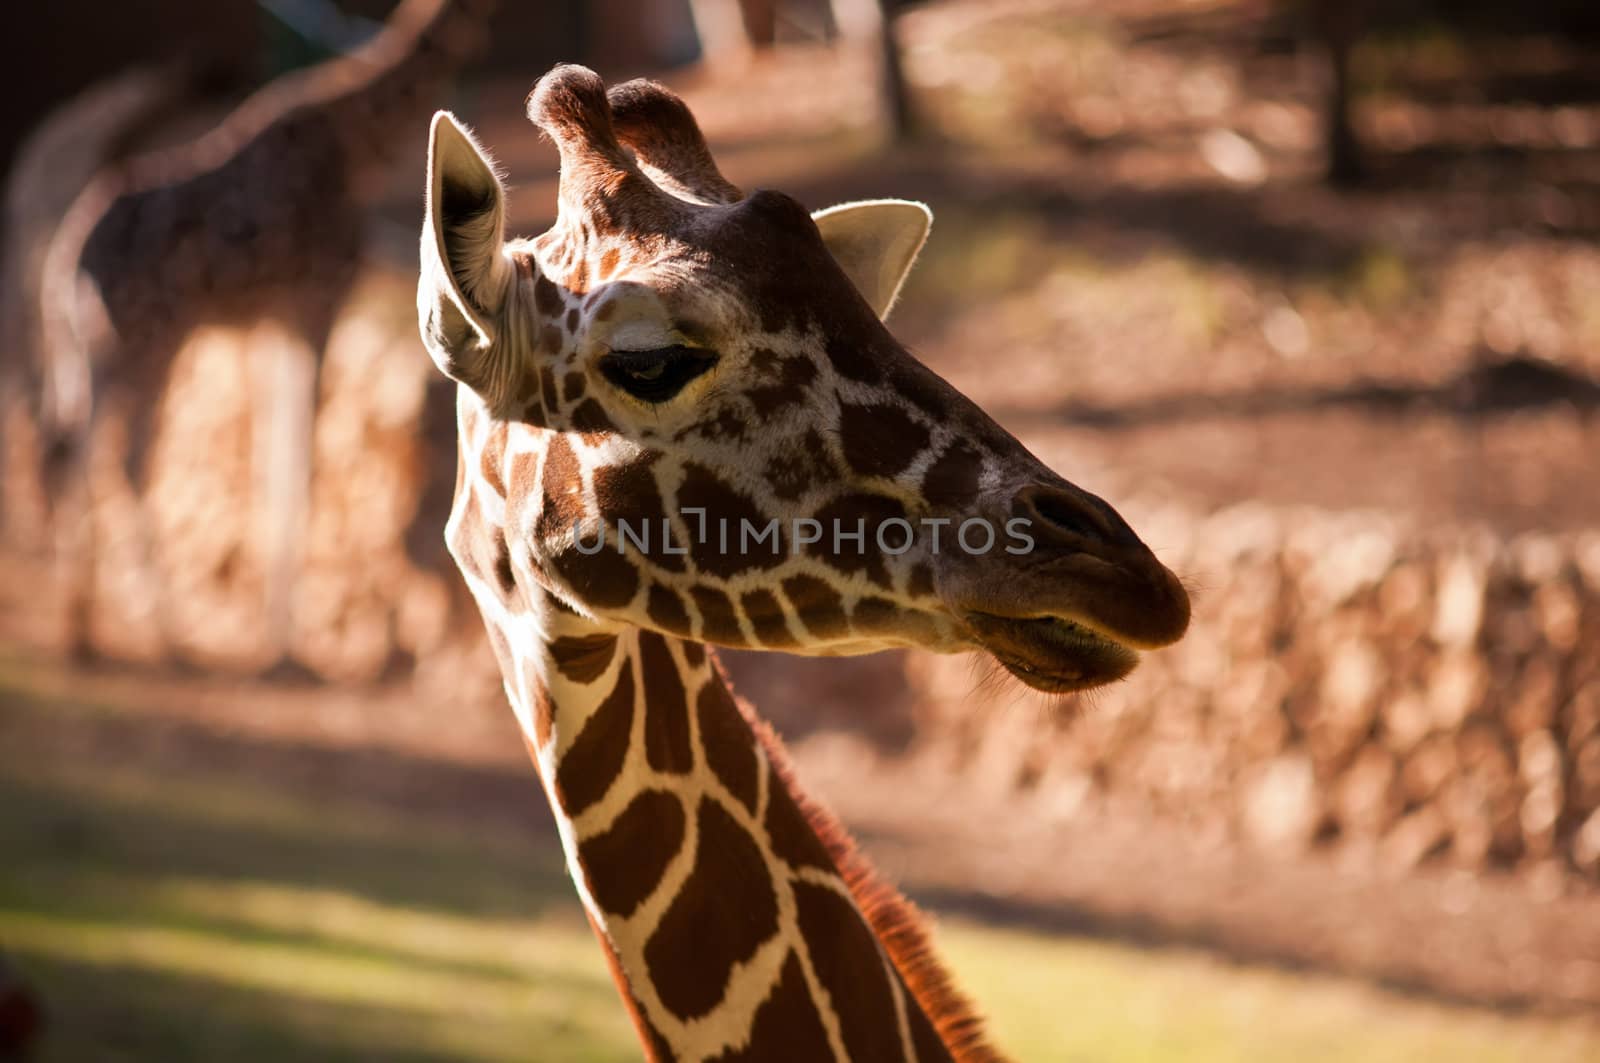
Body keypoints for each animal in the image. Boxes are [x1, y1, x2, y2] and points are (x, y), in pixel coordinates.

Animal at [34, 0, 489, 669]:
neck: (363, 140)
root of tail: (67, 266)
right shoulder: (317, 301)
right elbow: (298, 458)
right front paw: (288, 644)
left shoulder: (266, 323)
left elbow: (268, 457)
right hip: (145, 345)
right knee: (112, 457)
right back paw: (155, 632)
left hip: (84, 351)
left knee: (63, 448)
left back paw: (79, 625)